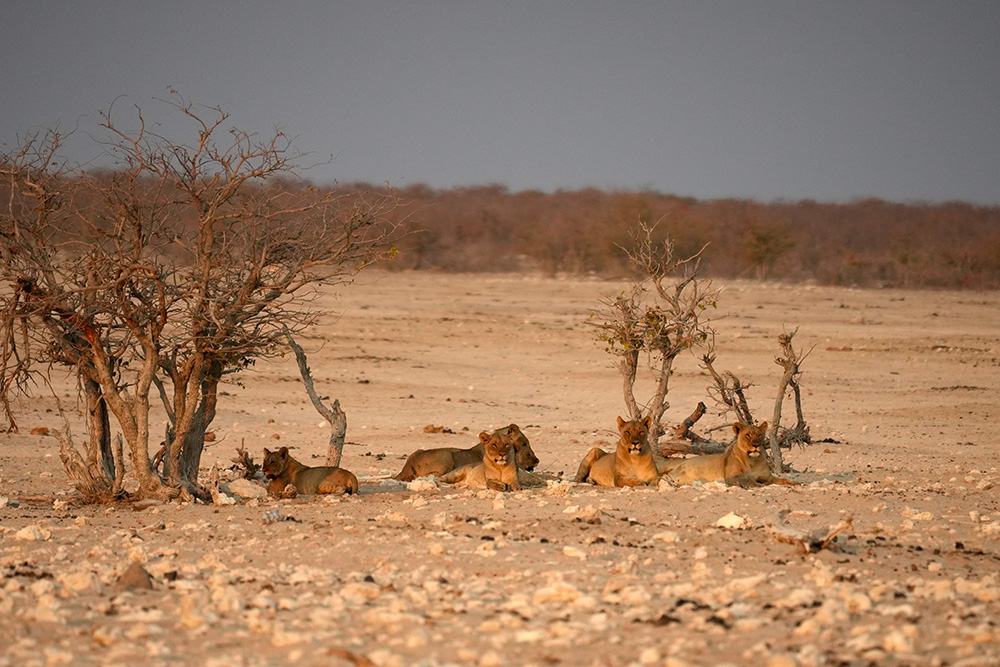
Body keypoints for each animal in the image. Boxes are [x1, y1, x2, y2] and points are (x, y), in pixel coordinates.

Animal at [666, 421, 798, 487]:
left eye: (760, 435)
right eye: (748, 435)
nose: (756, 445)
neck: (752, 461)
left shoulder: (768, 477)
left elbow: (784, 480)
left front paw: (796, 483)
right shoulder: (732, 477)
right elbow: (748, 480)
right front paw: (759, 485)